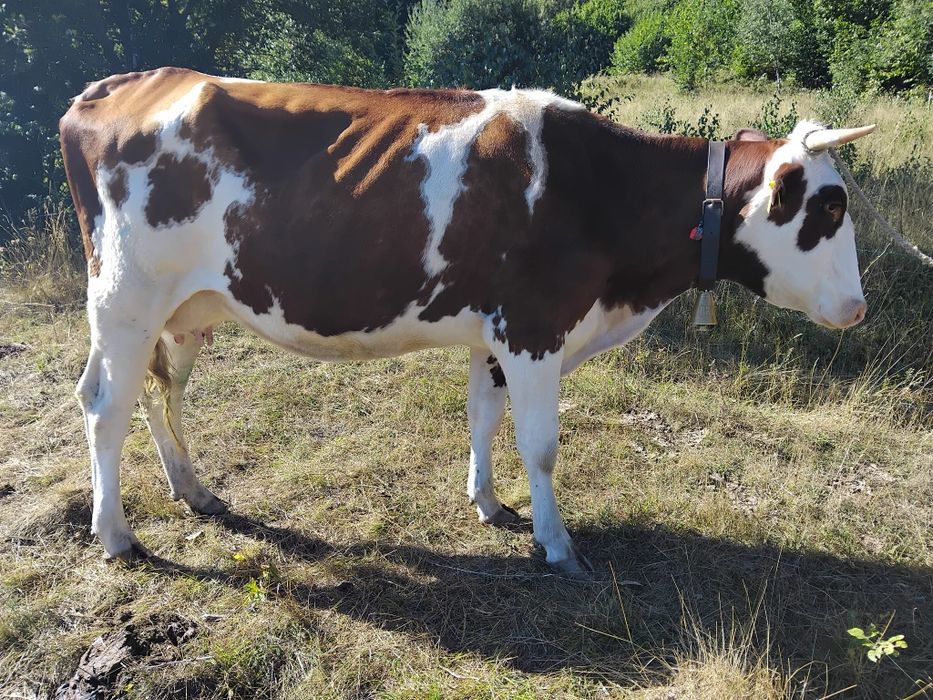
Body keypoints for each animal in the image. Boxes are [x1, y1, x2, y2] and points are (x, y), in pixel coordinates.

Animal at [59, 68, 874, 574]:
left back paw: (191, 489)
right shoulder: (535, 327)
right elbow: (540, 445)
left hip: (181, 311)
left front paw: (485, 502)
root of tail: (121, 84)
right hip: (127, 297)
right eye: (827, 209)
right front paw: (556, 544)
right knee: (104, 405)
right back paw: (115, 535)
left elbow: (483, 415)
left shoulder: (496, 330)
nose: (858, 307)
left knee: (156, 394)